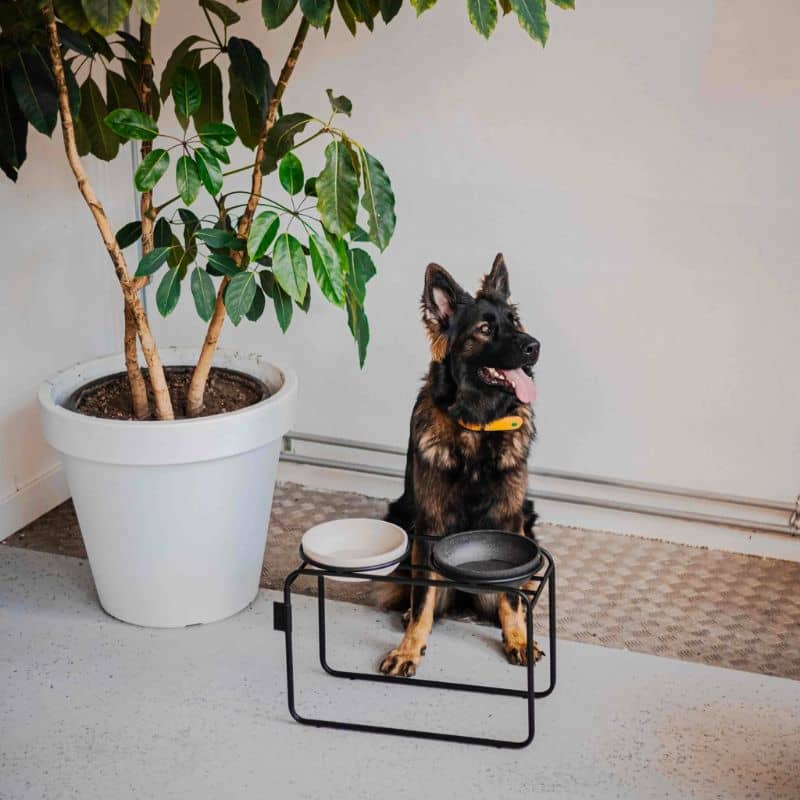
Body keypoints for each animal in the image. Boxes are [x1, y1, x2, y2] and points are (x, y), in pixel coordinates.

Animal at [378, 255, 540, 676]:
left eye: (515, 321)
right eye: (486, 329)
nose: (535, 346)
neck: (478, 426)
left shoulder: (510, 520)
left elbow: (510, 597)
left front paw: (517, 637)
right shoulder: (429, 525)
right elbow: (423, 601)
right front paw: (409, 649)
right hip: (400, 515)